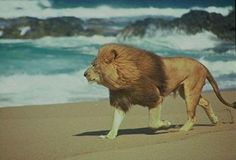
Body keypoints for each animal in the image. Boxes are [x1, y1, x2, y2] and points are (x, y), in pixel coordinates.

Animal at [84, 43, 235, 139]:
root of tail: (202, 64)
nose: (84, 74)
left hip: (190, 92)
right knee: (206, 102)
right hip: (185, 91)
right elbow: (116, 121)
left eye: (94, 65)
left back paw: (181, 130)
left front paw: (166, 124)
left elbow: (152, 123)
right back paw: (214, 120)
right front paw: (109, 136)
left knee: (192, 116)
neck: (121, 78)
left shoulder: (155, 97)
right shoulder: (121, 101)